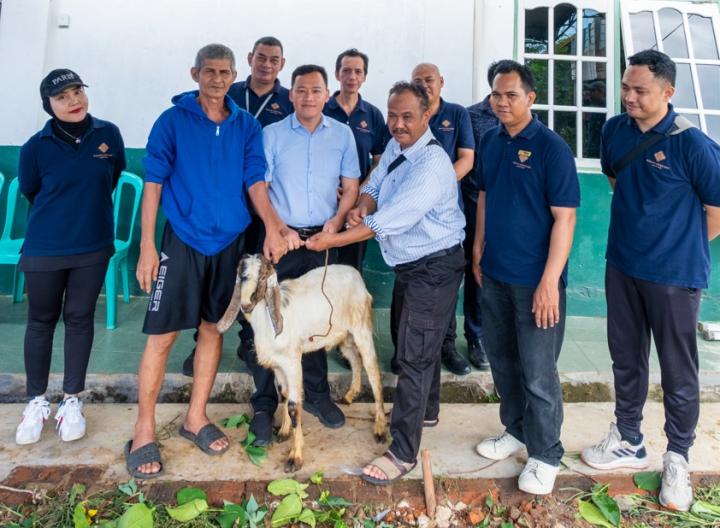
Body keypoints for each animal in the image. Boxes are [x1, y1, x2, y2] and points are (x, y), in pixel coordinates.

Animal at [218, 254, 388, 472]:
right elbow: (282, 395)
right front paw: (283, 432)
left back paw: (380, 429)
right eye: (242, 275)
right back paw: (351, 394)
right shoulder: (278, 365)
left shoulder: (292, 363)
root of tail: (356, 274)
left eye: (263, 276)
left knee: (373, 371)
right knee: (355, 359)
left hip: (362, 329)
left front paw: (295, 458)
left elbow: (293, 405)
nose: (246, 305)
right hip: (344, 336)